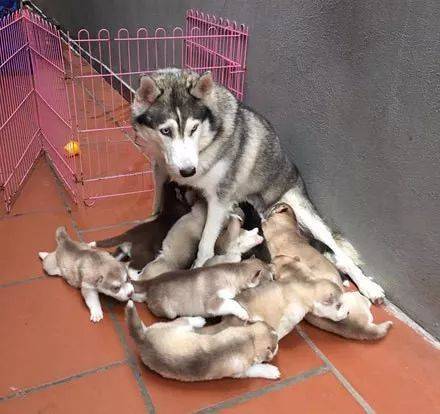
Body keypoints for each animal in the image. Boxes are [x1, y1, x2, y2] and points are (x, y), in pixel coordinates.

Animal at [125, 301, 280, 381]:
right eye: (276, 343)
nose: (278, 338)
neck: (250, 339)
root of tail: (143, 340)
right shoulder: (241, 372)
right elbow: (257, 368)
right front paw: (272, 371)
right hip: (180, 325)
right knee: (186, 320)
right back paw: (199, 320)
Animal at [130, 258, 273, 320]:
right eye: (271, 279)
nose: (275, 281)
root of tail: (153, 281)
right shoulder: (212, 302)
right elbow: (232, 303)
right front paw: (243, 313)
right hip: (169, 311)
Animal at [131, 68, 384, 303]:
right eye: (165, 131)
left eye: (193, 129)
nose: (187, 171)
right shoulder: (160, 170)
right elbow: (157, 204)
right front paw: (153, 218)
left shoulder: (219, 199)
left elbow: (205, 243)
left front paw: (198, 270)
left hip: (303, 211)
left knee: (339, 251)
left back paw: (368, 286)